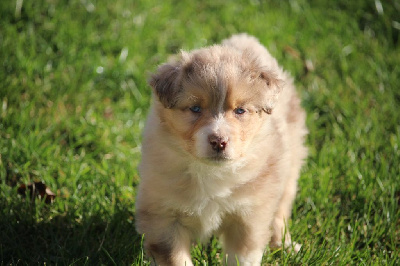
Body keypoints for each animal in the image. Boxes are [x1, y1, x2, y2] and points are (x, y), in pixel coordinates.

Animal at [136, 34, 308, 264]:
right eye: (195, 108)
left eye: (240, 110)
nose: (218, 141)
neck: (211, 172)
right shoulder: (163, 216)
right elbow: (176, 258)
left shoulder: (249, 216)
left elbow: (243, 256)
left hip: (289, 171)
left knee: (280, 213)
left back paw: (287, 247)